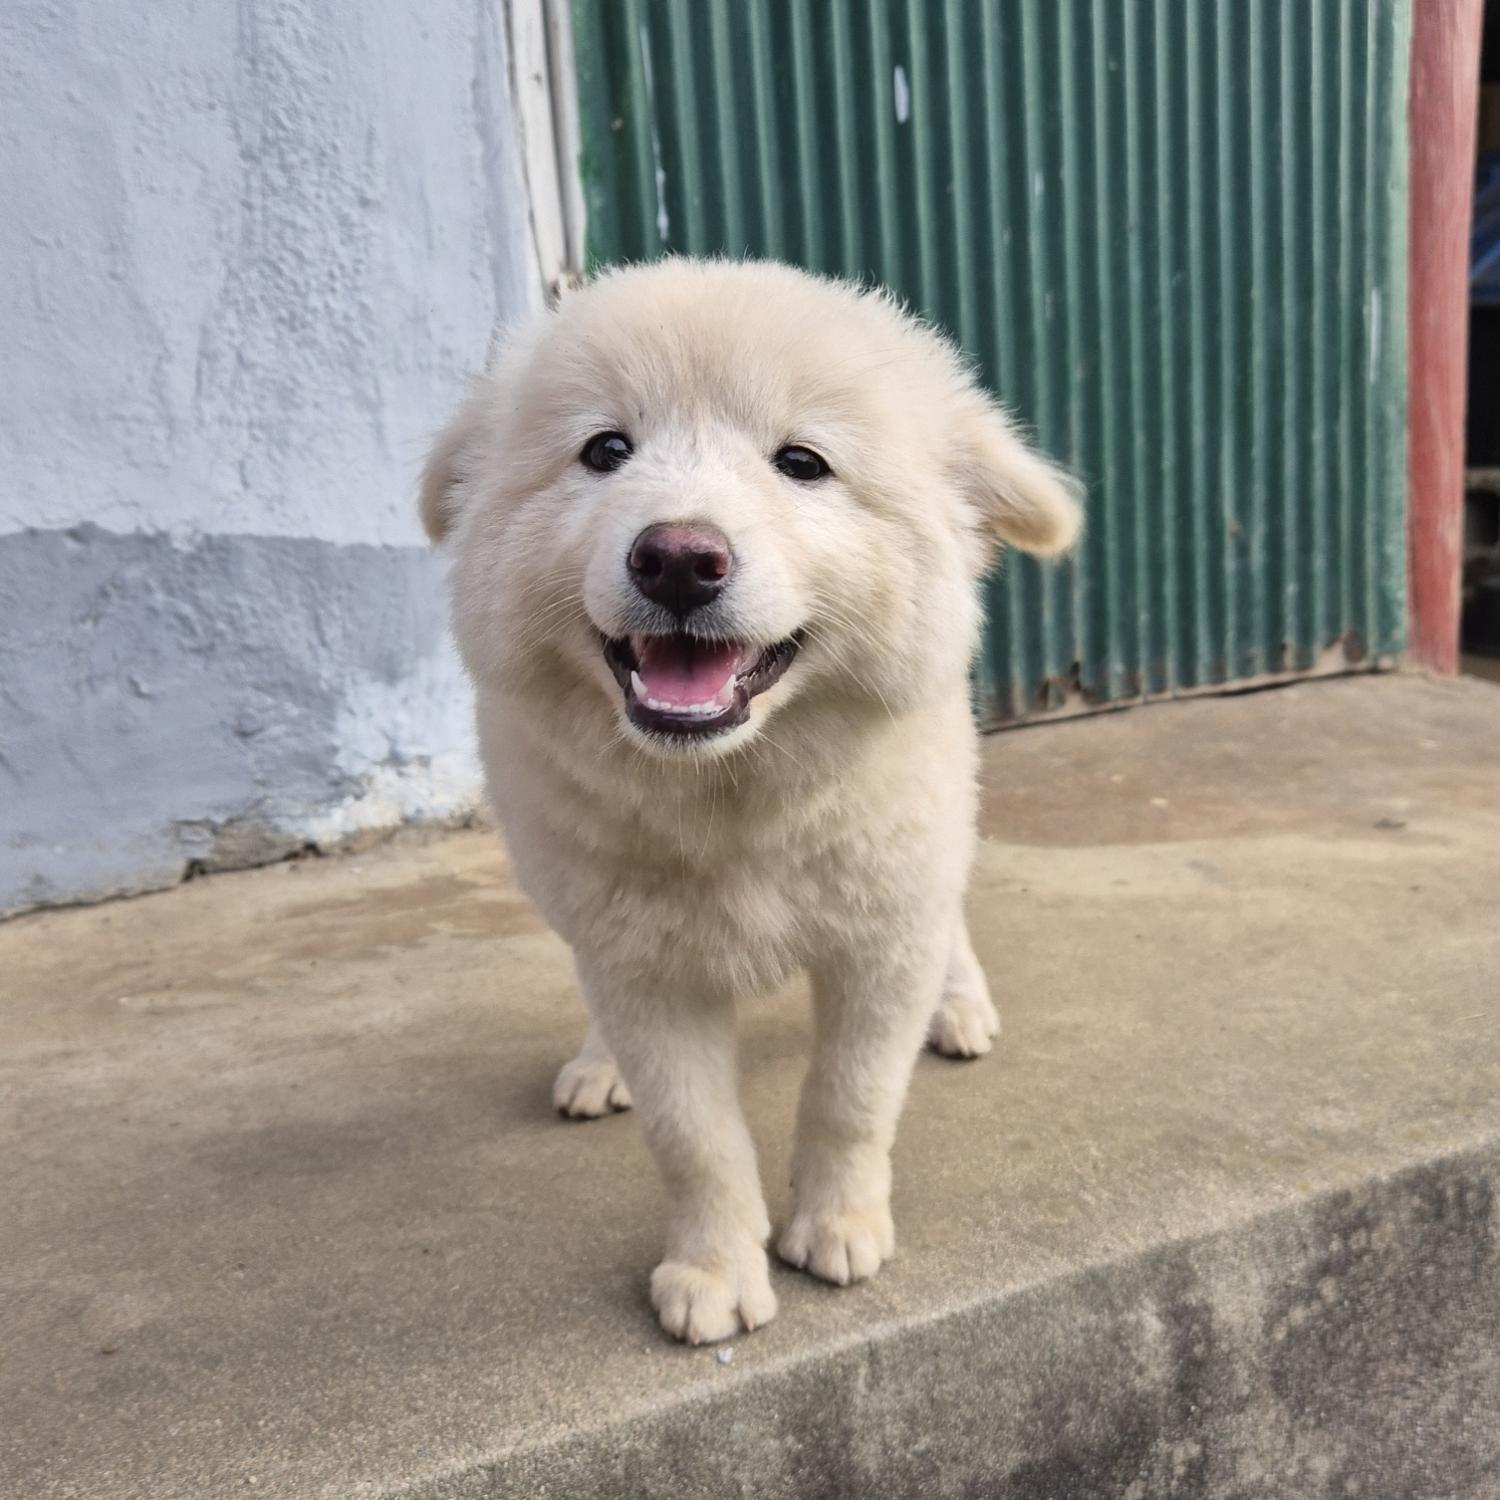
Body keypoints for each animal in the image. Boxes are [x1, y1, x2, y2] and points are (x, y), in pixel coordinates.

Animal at [420, 261, 1080, 1350]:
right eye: (606, 450)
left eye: (802, 463)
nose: (680, 558)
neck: (732, 792)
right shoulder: (640, 967)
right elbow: (693, 1137)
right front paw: (716, 1271)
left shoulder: (880, 930)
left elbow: (851, 1095)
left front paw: (838, 1224)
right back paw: (596, 1065)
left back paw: (961, 1003)